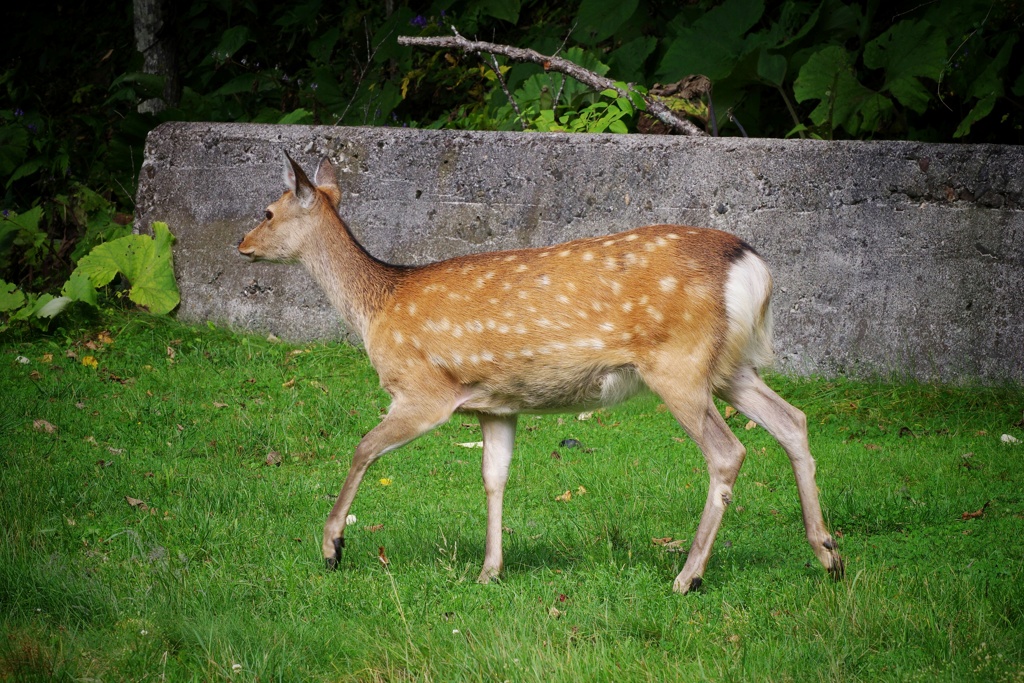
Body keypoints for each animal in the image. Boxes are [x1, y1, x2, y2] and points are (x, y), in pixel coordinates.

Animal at [235, 153, 843, 593]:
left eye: (267, 211)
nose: (241, 245)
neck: (378, 306)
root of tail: (754, 268)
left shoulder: (423, 390)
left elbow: (363, 448)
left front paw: (332, 547)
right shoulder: (494, 406)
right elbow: (494, 477)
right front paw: (489, 571)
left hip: (680, 364)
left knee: (728, 451)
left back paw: (687, 577)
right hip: (729, 366)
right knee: (793, 420)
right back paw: (828, 554)